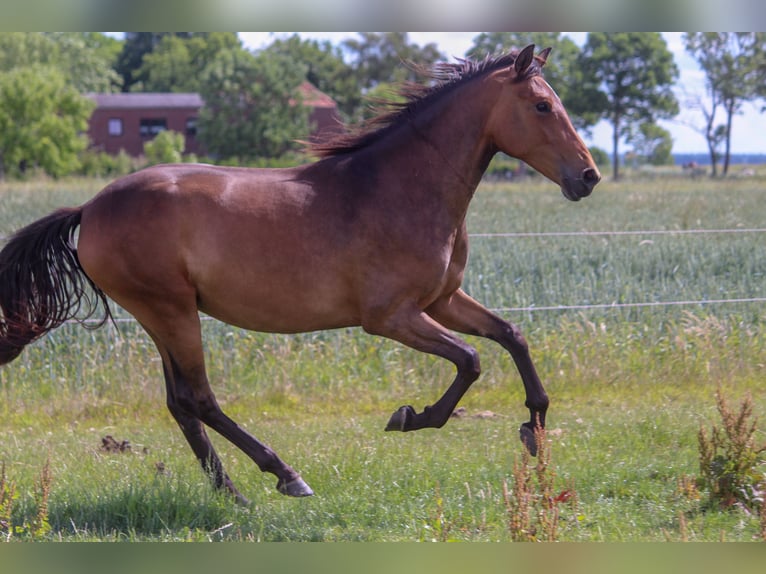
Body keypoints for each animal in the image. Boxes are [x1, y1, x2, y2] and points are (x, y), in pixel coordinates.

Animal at [0, 46, 600, 504]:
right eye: (542, 105)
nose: (589, 177)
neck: (401, 187)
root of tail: (90, 208)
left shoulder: (443, 299)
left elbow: (511, 336)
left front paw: (534, 430)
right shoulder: (390, 317)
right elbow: (471, 360)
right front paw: (411, 416)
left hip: (163, 315)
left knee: (180, 403)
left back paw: (232, 493)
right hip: (168, 310)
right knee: (199, 398)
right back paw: (285, 476)